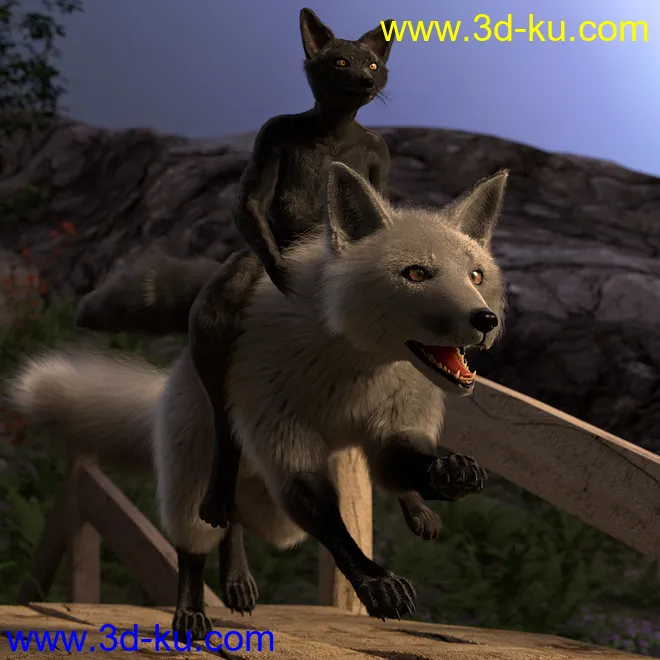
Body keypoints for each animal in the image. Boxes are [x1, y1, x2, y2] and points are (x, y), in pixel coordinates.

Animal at [8, 162, 507, 639]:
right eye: (416, 273)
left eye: (476, 275)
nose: (486, 320)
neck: (352, 380)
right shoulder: (282, 435)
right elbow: (333, 527)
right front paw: (376, 583)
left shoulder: (392, 430)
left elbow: (403, 467)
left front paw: (448, 475)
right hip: (195, 473)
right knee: (197, 535)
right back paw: (192, 610)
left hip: (273, 517)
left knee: (237, 520)